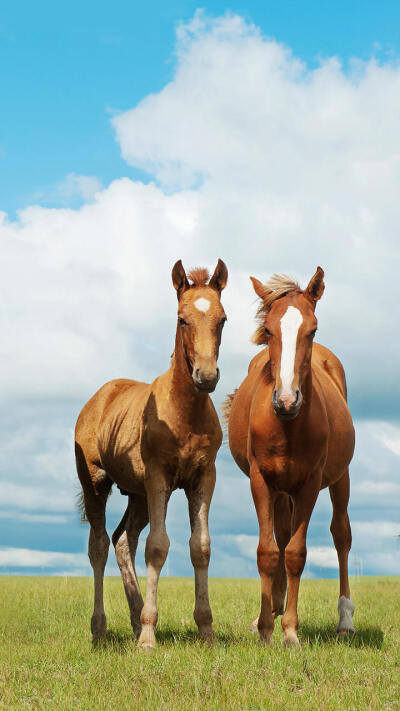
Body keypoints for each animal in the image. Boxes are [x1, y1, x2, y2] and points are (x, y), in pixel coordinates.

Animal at [76, 260, 228, 652]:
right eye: (182, 319)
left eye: (222, 319)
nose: (206, 376)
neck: (184, 413)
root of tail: (97, 398)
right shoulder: (159, 477)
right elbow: (157, 547)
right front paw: (148, 637)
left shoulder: (203, 478)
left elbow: (200, 547)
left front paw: (206, 630)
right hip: (96, 483)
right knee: (99, 545)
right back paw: (101, 629)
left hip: (138, 494)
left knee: (122, 540)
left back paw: (132, 619)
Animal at [225, 268, 356, 644]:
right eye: (268, 329)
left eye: (312, 329)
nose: (286, 400)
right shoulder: (261, 480)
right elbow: (268, 552)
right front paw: (266, 628)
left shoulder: (310, 484)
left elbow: (296, 553)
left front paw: (290, 633)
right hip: (281, 489)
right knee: (280, 537)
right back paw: (270, 610)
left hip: (339, 478)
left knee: (341, 535)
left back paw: (344, 620)